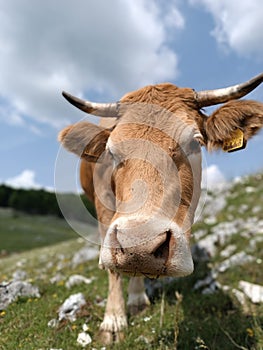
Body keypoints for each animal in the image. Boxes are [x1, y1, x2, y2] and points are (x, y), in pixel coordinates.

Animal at [58, 72, 263, 344]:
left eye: (195, 144)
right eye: (111, 152)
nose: (141, 246)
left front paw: (136, 299)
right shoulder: (104, 210)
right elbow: (114, 269)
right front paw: (113, 321)